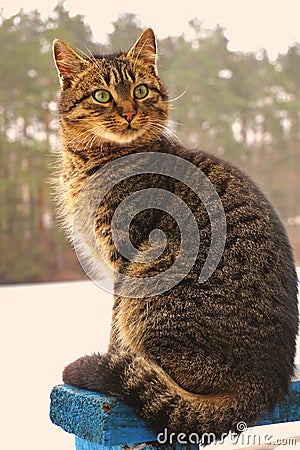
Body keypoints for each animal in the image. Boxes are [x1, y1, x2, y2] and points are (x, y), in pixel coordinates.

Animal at [52, 29, 298, 442]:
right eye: (102, 95)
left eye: (140, 91)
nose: (128, 112)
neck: (89, 164)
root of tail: (267, 380)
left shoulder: (124, 257)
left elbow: (114, 329)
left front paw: (111, 355)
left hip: (152, 279)